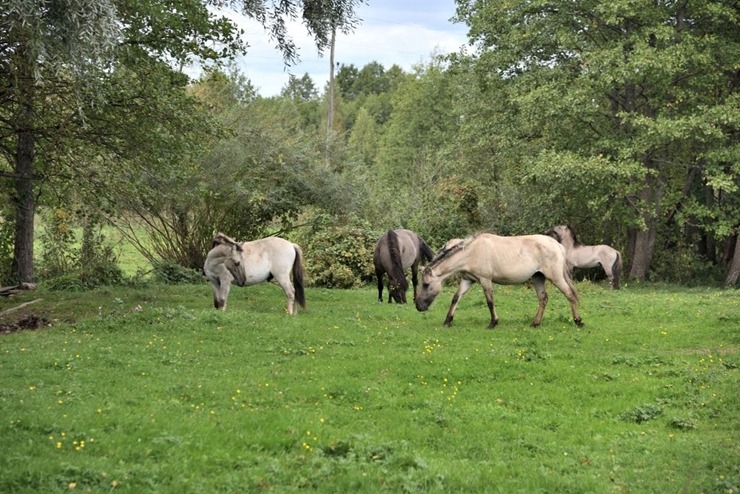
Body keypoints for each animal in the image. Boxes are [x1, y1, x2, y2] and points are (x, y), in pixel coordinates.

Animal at [416, 234, 584, 330]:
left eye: (426, 285)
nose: (419, 307)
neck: (471, 252)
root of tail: (558, 246)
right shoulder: (468, 280)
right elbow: (456, 298)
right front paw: (448, 321)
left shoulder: (485, 280)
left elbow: (490, 302)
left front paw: (493, 323)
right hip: (538, 277)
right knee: (543, 299)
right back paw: (535, 324)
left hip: (556, 277)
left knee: (570, 295)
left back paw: (578, 321)